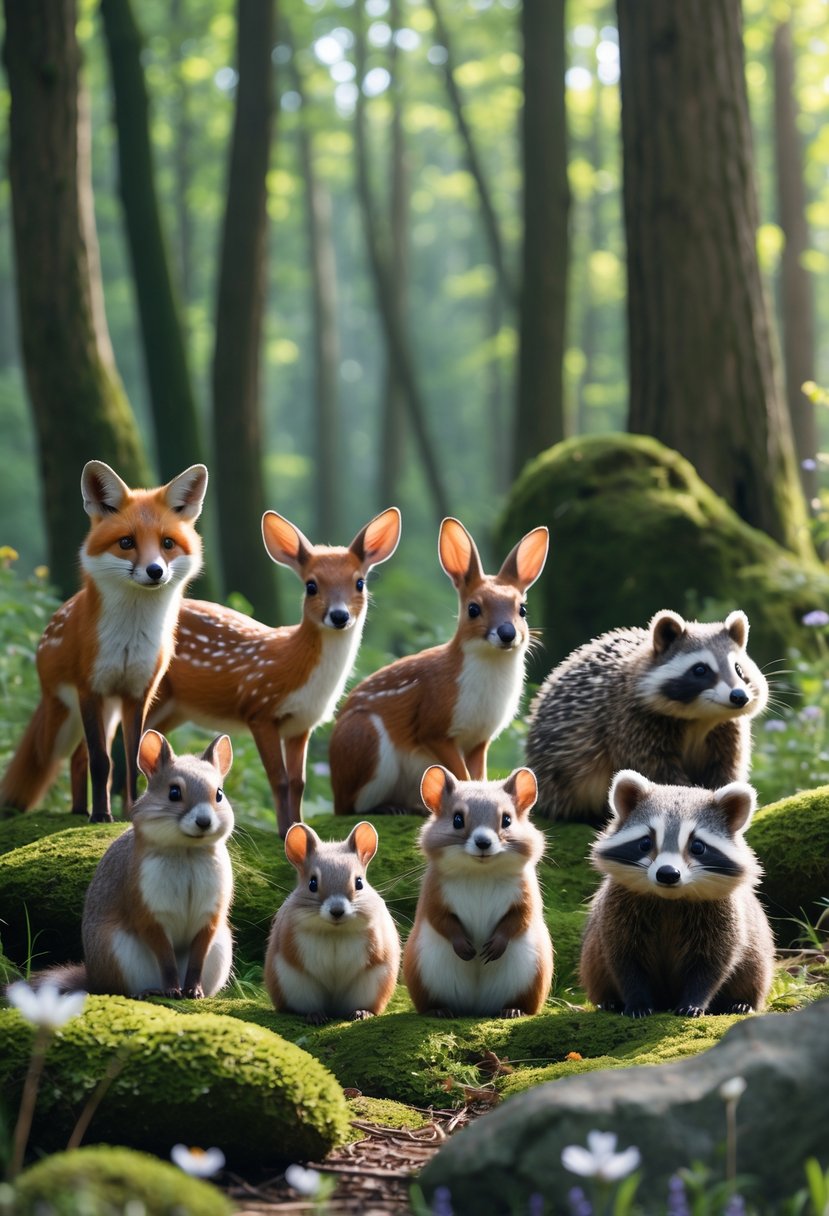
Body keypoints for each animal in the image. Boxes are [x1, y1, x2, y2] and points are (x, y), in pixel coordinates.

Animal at [0, 460, 208, 823]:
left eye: (167, 543)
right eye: (126, 542)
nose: (155, 571)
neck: (130, 636)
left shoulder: (137, 694)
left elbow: (134, 763)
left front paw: (131, 812)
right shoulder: (91, 690)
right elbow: (101, 762)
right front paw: (101, 816)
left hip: (110, 714)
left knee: (77, 759)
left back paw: (81, 809)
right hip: (64, 721)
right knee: (76, 758)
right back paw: (82, 811)